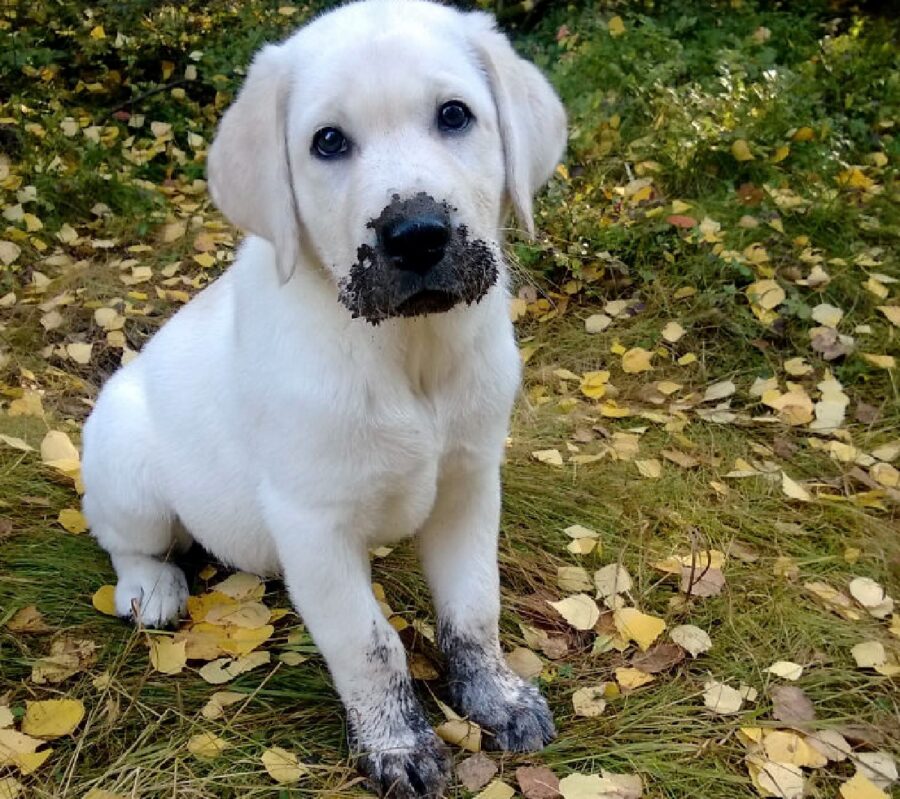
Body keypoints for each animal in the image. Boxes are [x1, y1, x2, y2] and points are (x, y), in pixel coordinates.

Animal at [82, 3, 564, 796]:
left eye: (455, 115)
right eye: (328, 142)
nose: (417, 235)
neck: (409, 351)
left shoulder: (468, 484)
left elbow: (474, 607)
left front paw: (494, 695)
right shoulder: (313, 523)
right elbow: (369, 644)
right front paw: (398, 744)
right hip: (125, 462)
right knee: (127, 541)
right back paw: (151, 588)